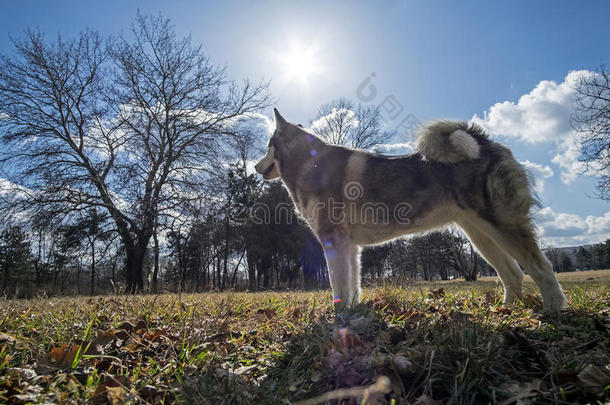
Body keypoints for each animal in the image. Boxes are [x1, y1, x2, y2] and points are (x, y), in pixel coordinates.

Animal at [253, 108, 564, 312]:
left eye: (267, 147)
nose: (255, 167)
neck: (310, 163)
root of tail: (486, 143)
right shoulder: (348, 247)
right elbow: (352, 284)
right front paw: (352, 312)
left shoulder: (333, 242)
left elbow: (339, 286)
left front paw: (339, 318)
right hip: (481, 236)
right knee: (513, 275)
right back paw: (503, 311)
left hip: (501, 227)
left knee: (541, 267)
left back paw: (553, 308)